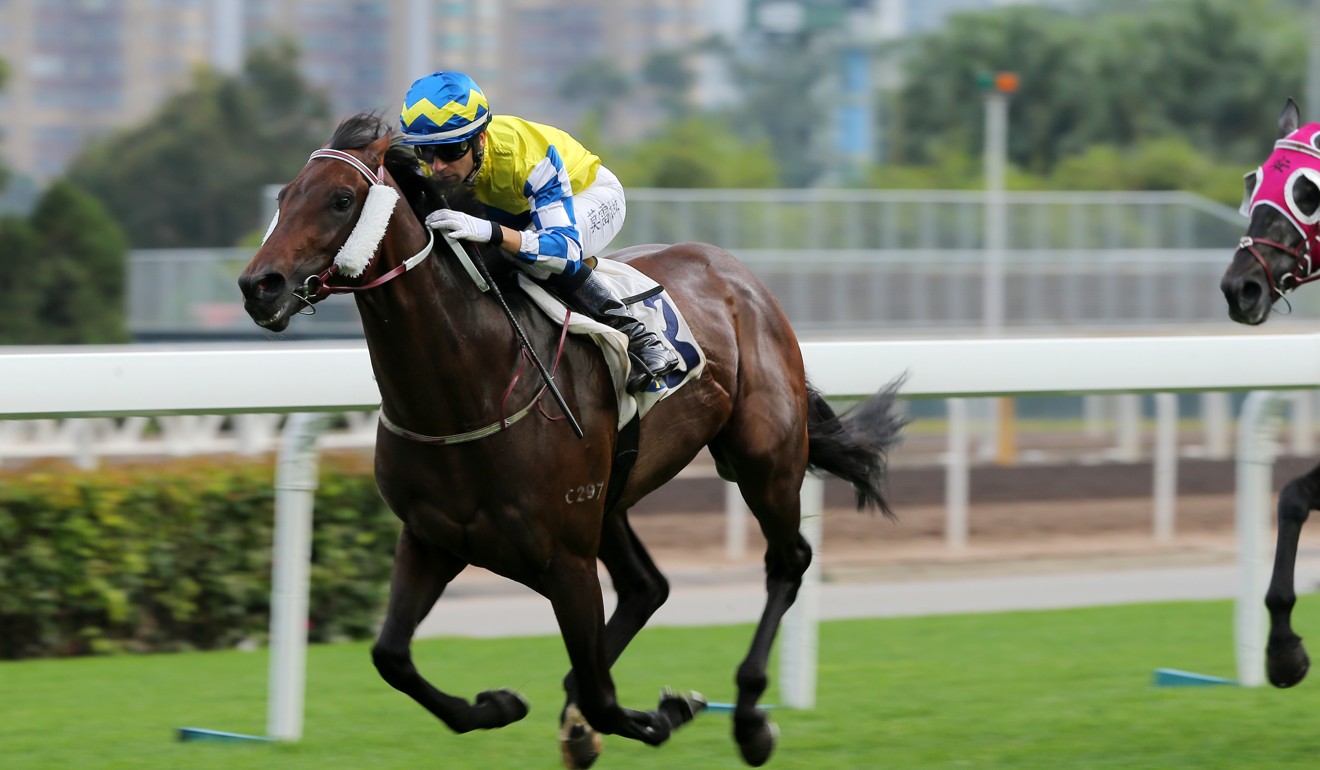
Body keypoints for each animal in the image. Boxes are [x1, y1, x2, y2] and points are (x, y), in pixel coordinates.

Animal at [237, 111, 902, 766]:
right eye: (285, 196)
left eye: (341, 199)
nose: (258, 285)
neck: (471, 387)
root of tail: (738, 274)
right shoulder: (431, 539)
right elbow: (391, 657)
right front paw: (499, 705)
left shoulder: (566, 559)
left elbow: (605, 697)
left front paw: (662, 714)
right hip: (611, 499)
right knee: (646, 588)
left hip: (763, 458)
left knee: (787, 561)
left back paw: (748, 719)